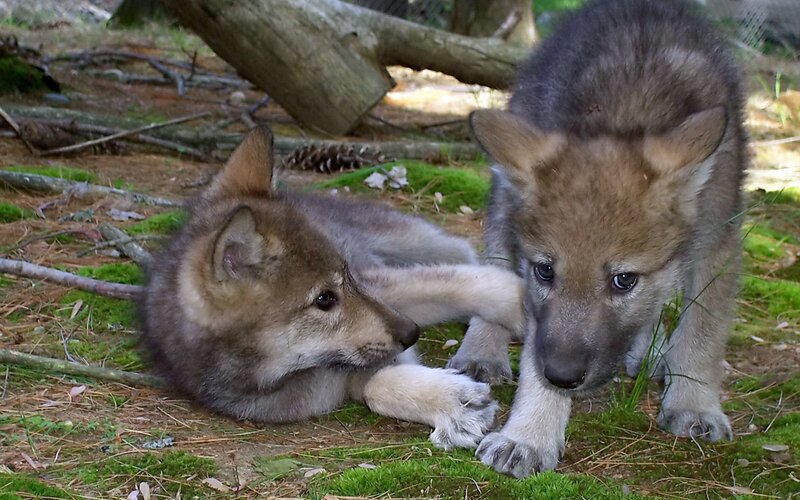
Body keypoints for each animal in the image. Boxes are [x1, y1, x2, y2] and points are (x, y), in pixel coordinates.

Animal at [137, 126, 525, 450]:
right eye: (324, 299)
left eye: (347, 276)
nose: (411, 332)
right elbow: (375, 386)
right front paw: (453, 402)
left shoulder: (382, 285)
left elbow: (475, 283)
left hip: (422, 246)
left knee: (468, 257)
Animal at [448, 0, 747, 476]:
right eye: (545, 272)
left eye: (623, 281)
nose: (561, 376)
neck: (630, 111)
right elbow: (535, 344)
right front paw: (528, 436)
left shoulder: (716, 239)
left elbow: (703, 329)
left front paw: (695, 403)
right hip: (504, 194)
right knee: (493, 262)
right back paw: (482, 350)